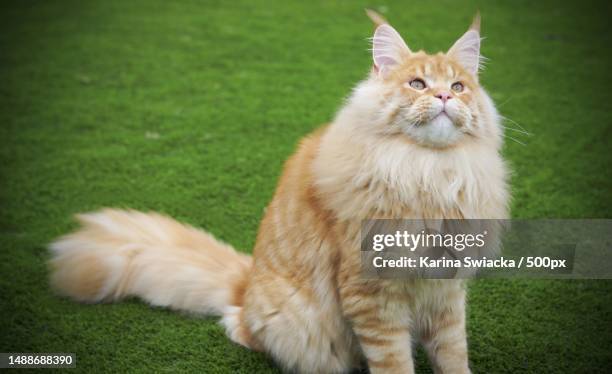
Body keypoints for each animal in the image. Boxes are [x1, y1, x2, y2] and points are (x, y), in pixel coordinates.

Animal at [47, 10, 506, 374]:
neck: (430, 173)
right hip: (298, 325)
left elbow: (453, 354)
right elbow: (394, 361)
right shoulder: (373, 294)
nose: (444, 95)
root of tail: (247, 281)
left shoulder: (446, 295)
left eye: (459, 87)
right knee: (240, 324)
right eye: (417, 83)